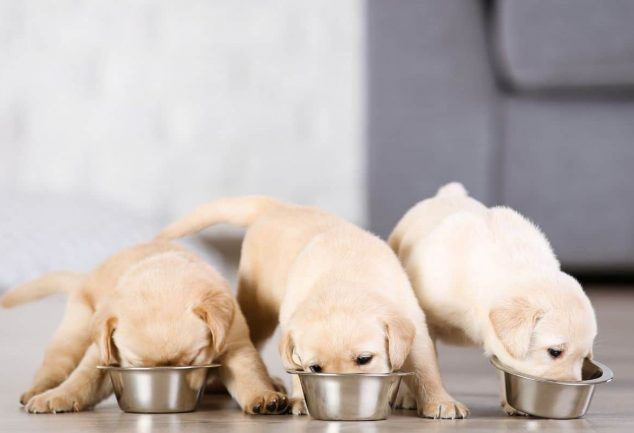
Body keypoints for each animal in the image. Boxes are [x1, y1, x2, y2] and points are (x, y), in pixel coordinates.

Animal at [0, 241, 286, 414]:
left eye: (192, 359)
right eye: (137, 365)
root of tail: (85, 277)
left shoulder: (235, 344)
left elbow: (249, 374)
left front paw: (263, 396)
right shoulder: (104, 354)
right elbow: (83, 379)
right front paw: (57, 397)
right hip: (74, 331)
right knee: (54, 365)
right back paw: (40, 389)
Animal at [156, 196, 466, 418]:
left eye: (364, 359)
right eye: (316, 368)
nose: (348, 396)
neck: (346, 278)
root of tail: (278, 207)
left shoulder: (414, 325)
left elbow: (426, 368)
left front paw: (440, 402)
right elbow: (295, 368)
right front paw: (299, 398)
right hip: (257, 307)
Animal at [388, 181, 596, 414]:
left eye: (584, 358)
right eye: (555, 352)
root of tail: (448, 193)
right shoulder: (425, 320)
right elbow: (424, 363)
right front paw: (440, 401)